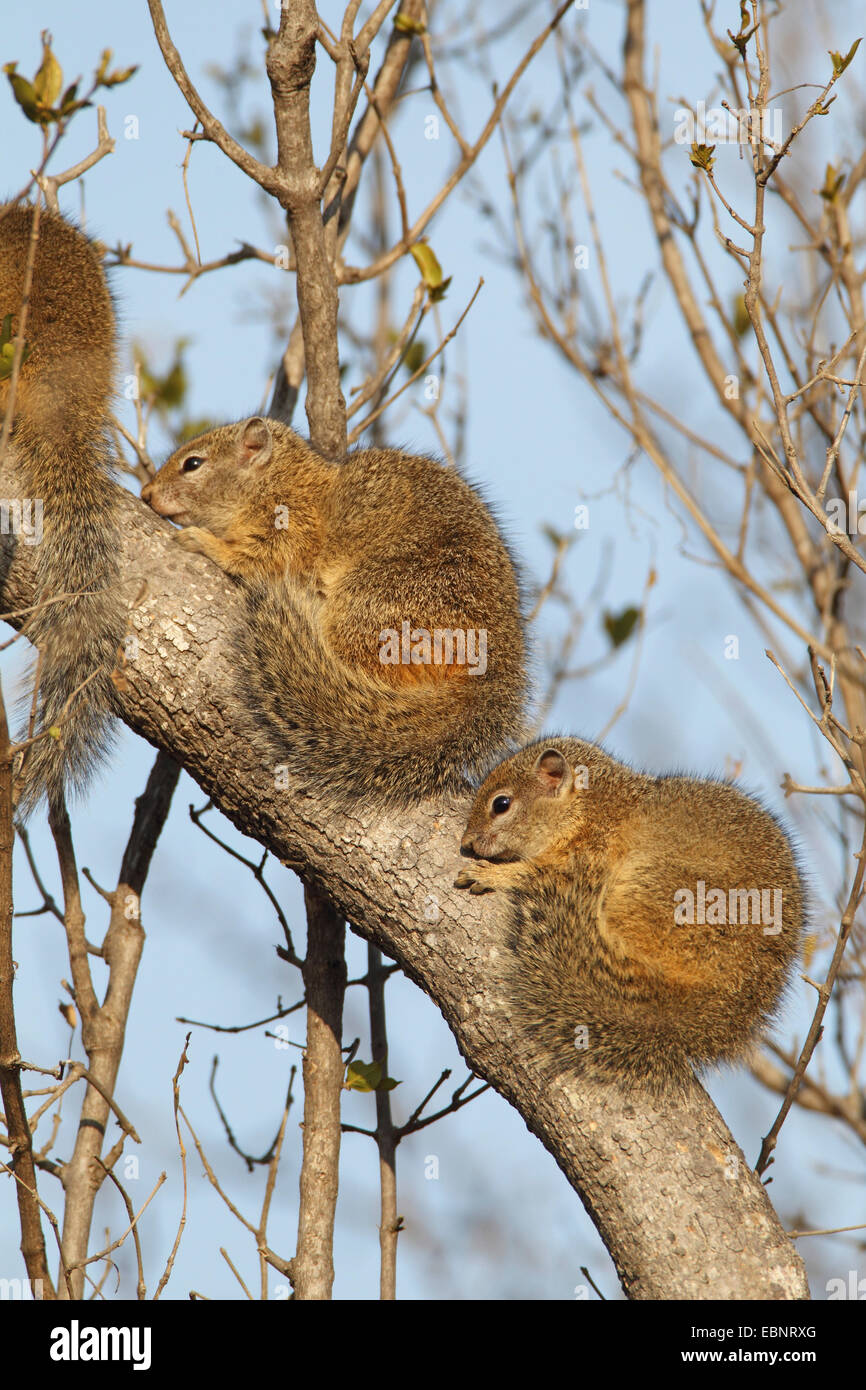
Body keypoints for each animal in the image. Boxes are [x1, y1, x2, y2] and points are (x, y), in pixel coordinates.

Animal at [142, 414, 528, 806]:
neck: (278, 480)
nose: (146, 494)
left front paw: (204, 542)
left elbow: (257, 558)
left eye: (193, 464)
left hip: (375, 608)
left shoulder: (291, 526)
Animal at [458, 739, 800, 1095]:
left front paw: (492, 874)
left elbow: (535, 874)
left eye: (502, 804)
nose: (467, 841)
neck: (591, 807)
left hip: (662, 893)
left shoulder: (587, 855)